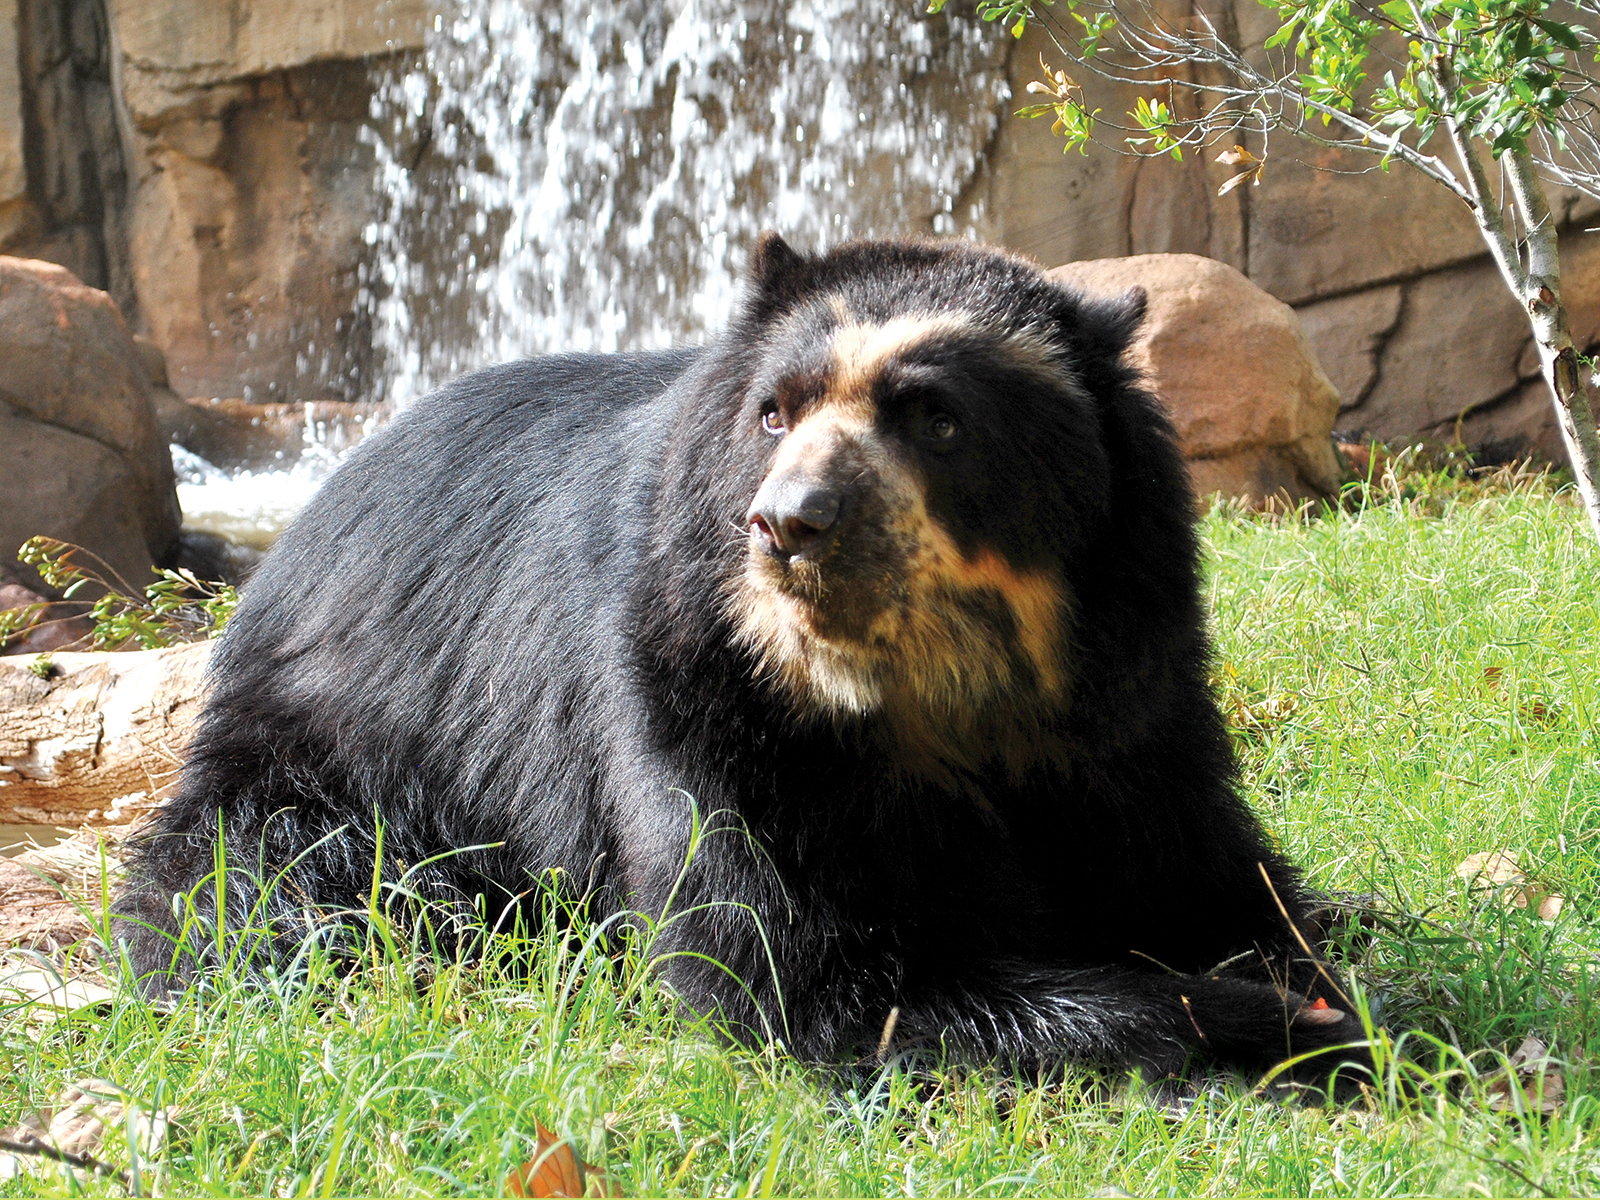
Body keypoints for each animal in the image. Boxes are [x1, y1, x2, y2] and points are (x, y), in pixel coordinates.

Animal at [114, 234, 1367, 1080]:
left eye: (937, 419)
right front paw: (1264, 1019)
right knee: (287, 890)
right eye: (775, 412)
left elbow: (1197, 863)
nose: (790, 521)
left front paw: (1298, 967)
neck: (922, 687)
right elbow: (802, 968)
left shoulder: (1127, 685)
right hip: (341, 748)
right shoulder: (704, 696)